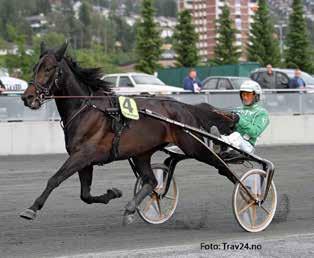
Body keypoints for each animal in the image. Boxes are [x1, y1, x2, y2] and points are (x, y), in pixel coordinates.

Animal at [20, 42, 236, 224]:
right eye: (35, 68)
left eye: (49, 68)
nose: (27, 97)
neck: (86, 109)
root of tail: (185, 107)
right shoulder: (83, 159)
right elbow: (85, 195)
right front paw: (113, 193)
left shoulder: (82, 155)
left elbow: (55, 179)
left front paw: (32, 208)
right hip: (142, 153)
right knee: (151, 181)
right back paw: (130, 208)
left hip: (193, 146)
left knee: (220, 165)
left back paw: (243, 189)